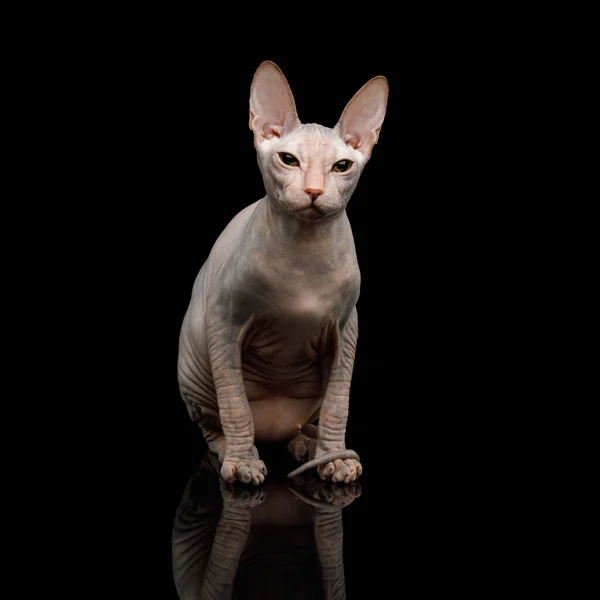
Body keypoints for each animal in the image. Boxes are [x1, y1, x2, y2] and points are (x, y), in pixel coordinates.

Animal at [177, 61, 390, 486]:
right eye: (289, 159)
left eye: (342, 166)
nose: (313, 191)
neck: (303, 252)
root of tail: (273, 431)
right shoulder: (223, 324)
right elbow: (235, 405)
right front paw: (241, 462)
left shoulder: (347, 331)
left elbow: (338, 406)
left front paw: (334, 458)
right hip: (193, 362)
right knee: (213, 424)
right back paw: (231, 449)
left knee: (304, 422)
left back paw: (308, 443)